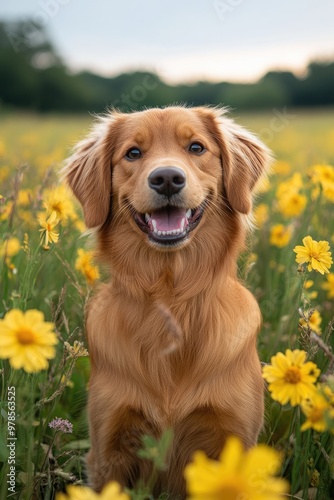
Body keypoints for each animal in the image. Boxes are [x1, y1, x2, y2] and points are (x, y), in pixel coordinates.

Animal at [64, 105, 272, 496]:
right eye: (133, 153)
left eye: (196, 147)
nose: (167, 179)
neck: (171, 297)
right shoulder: (108, 448)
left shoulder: (234, 436)